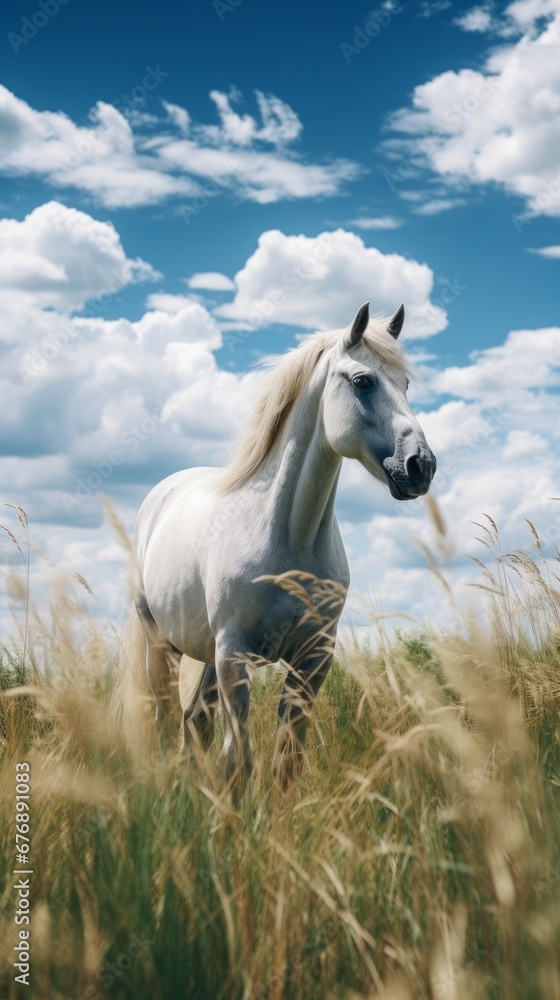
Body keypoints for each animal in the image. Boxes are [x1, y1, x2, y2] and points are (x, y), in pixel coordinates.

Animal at [131, 301, 436, 792]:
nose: (420, 466)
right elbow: (238, 761)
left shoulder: (312, 659)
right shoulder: (235, 656)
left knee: (193, 722)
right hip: (162, 644)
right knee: (165, 721)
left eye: (405, 384)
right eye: (363, 381)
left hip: (209, 655)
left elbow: (286, 763)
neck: (287, 536)